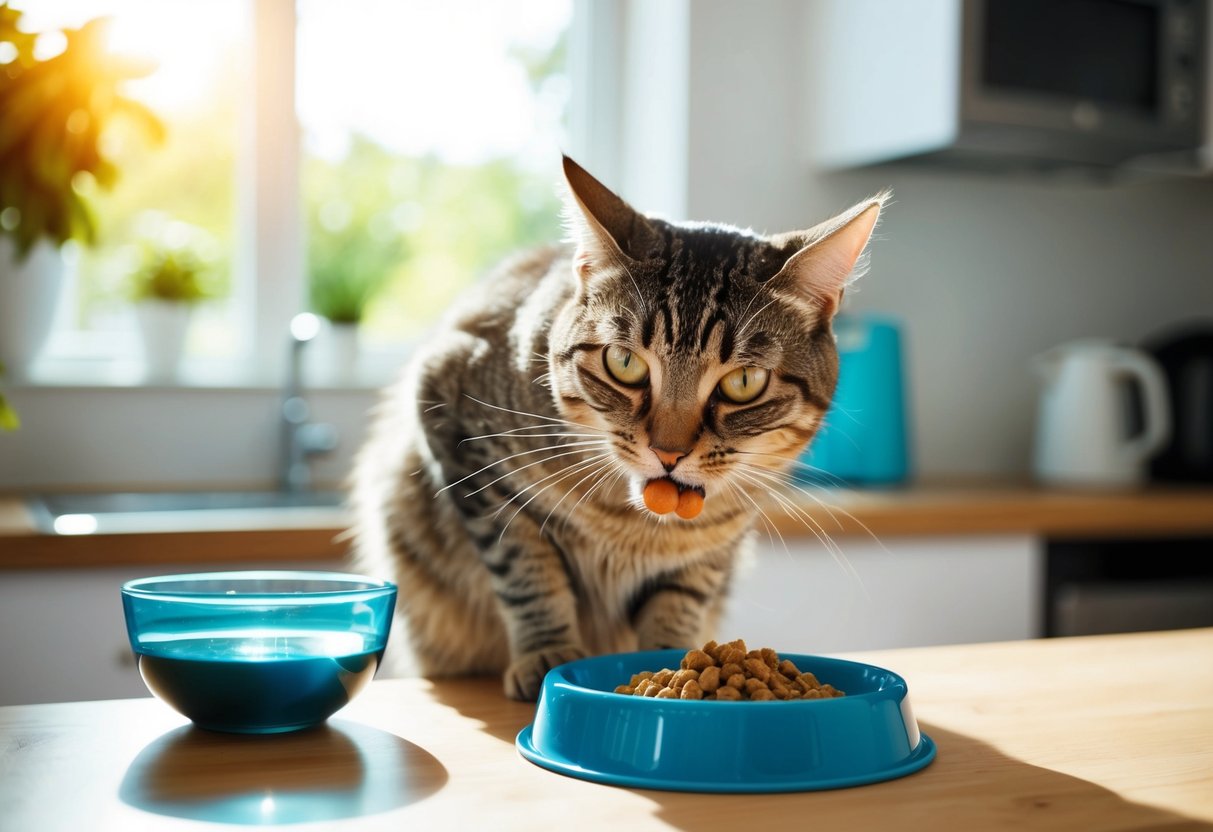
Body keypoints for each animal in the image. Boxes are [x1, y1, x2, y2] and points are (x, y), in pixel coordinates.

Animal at [346, 153, 887, 698]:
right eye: (624, 363)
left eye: (744, 382)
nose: (668, 452)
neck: (636, 523)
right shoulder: (460, 430)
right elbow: (525, 567)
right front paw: (547, 651)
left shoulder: (712, 551)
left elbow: (680, 599)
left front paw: (671, 660)